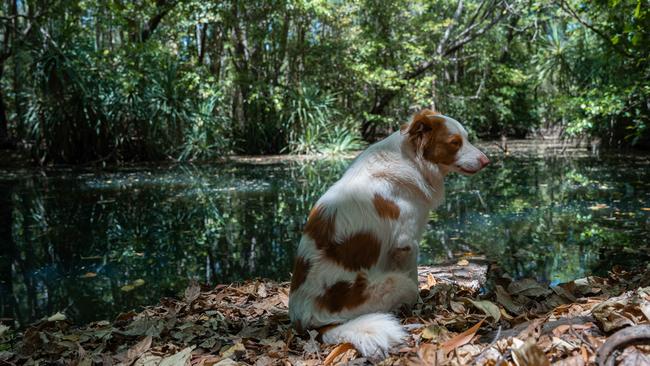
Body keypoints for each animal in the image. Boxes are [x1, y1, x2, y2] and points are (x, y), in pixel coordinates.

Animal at [286, 108, 488, 358]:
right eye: (454, 143)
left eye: (466, 139)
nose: (487, 161)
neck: (412, 160)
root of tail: (307, 322)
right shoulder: (406, 244)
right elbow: (414, 277)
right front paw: (420, 307)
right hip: (394, 285)